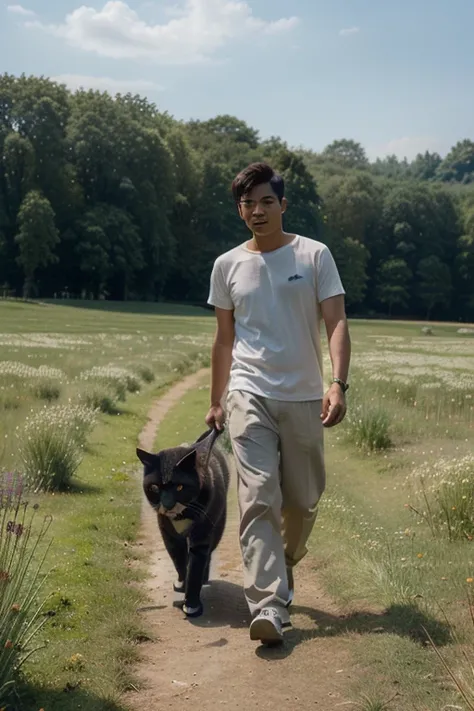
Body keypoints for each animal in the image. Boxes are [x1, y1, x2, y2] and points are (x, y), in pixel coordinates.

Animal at [136, 428, 231, 616]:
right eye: (155, 487)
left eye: (180, 487)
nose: (167, 504)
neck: (182, 515)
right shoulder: (169, 535)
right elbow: (179, 561)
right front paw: (182, 583)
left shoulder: (201, 536)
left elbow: (194, 567)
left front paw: (192, 604)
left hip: (217, 524)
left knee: (208, 553)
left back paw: (204, 577)